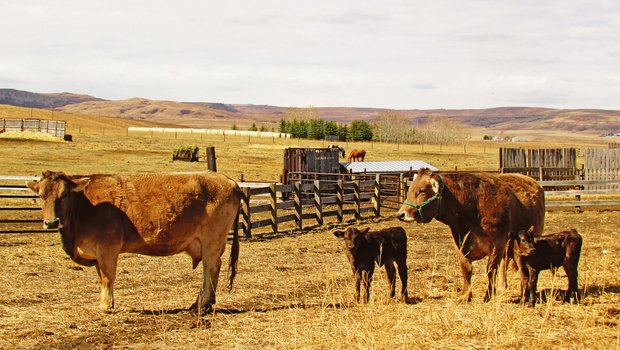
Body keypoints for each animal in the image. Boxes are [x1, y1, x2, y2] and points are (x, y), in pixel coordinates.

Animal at [27, 170, 240, 312]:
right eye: (40, 195)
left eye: (64, 195)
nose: (51, 222)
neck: (86, 206)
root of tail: (229, 181)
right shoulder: (98, 255)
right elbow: (101, 278)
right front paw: (105, 302)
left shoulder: (107, 249)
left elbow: (108, 278)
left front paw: (106, 306)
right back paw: (200, 303)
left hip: (212, 241)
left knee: (210, 268)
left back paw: (203, 303)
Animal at [398, 168, 544, 302]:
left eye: (422, 190)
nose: (400, 214)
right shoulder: (460, 245)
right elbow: (466, 270)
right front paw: (465, 295)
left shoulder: (497, 244)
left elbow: (491, 270)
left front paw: (488, 295)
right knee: (505, 262)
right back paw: (503, 287)